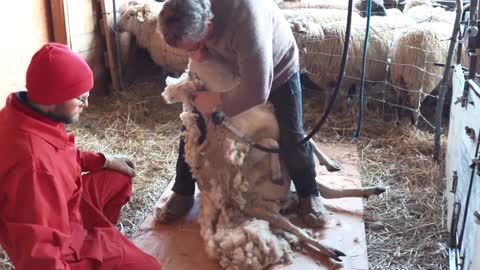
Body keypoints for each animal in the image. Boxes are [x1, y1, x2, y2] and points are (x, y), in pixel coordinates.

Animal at [159, 58, 384, 268]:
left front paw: (329, 163)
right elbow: (278, 143)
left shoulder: (279, 129)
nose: (215, 116)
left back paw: (372, 190)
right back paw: (331, 250)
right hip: (263, 210)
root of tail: (284, 201)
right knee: (298, 228)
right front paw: (278, 170)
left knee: (327, 192)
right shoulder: (253, 142)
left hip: (291, 189)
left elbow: (307, 140)